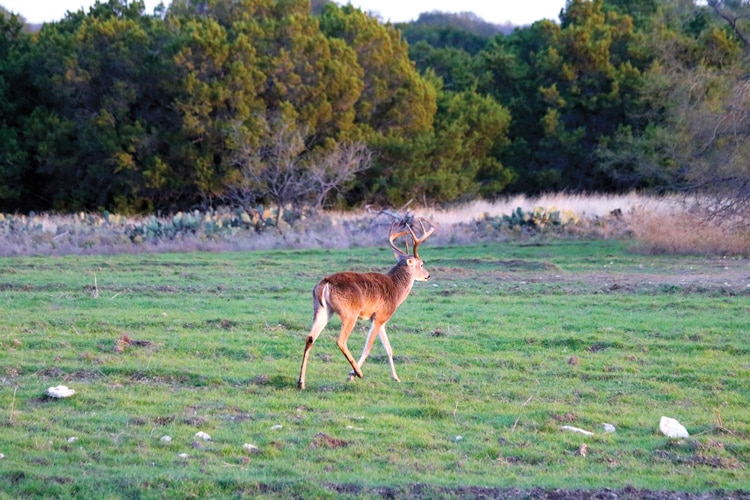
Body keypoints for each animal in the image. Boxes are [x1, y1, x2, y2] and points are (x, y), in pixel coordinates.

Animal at [296, 220, 432, 390]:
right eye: (421, 264)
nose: (428, 275)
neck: (396, 289)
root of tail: (325, 283)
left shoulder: (380, 319)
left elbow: (388, 348)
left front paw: (396, 377)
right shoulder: (380, 316)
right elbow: (368, 348)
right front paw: (351, 375)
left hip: (322, 310)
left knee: (310, 338)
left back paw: (301, 382)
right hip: (349, 313)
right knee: (340, 340)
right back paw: (358, 373)